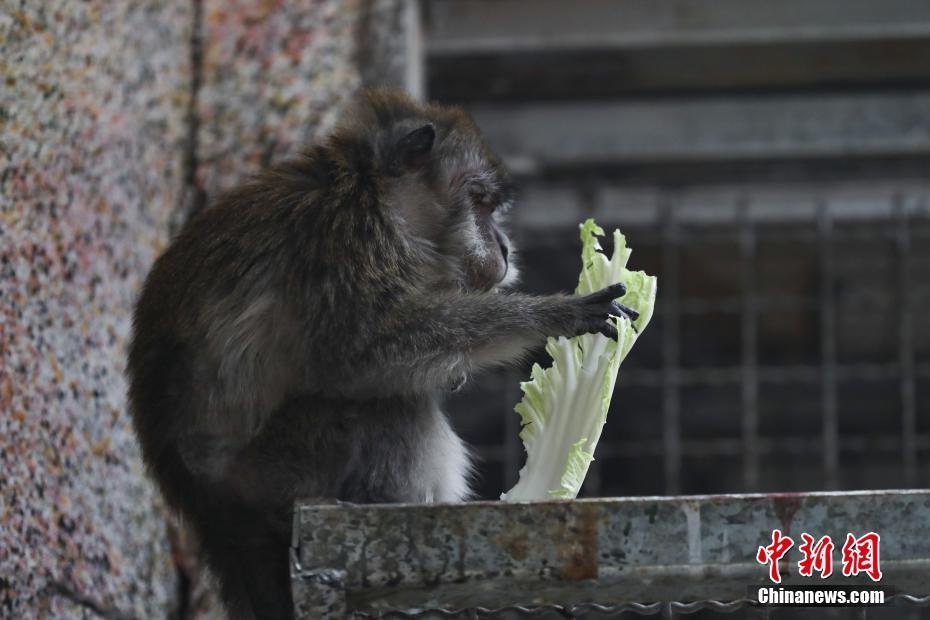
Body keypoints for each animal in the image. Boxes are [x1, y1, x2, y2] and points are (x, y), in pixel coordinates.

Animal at [129, 88, 640, 620]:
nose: (504, 246)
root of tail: (207, 507)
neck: (368, 187)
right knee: (382, 407)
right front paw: (549, 316)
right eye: (479, 203)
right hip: (273, 473)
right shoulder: (346, 236)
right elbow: (360, 354)